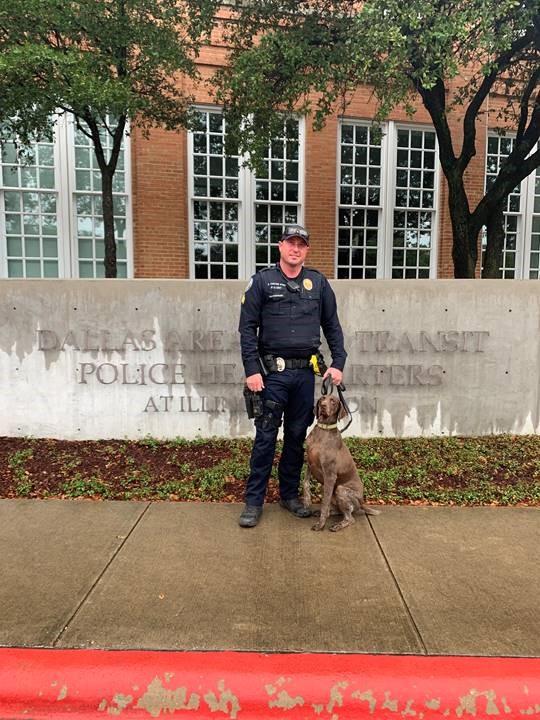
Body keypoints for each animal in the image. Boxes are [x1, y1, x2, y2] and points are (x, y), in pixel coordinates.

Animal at [304, 390, 380, 532]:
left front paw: (320, 524)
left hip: (341, 489)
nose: (323, 405)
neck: (323, 429)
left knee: (350, 518)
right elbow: (305, 483)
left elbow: (325, 502)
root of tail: (362, 502)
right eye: (322, 398)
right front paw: (306, 501)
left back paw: (338, 524)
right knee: (339, 510)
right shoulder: (309, 464)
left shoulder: (330, 475)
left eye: (333, 401)